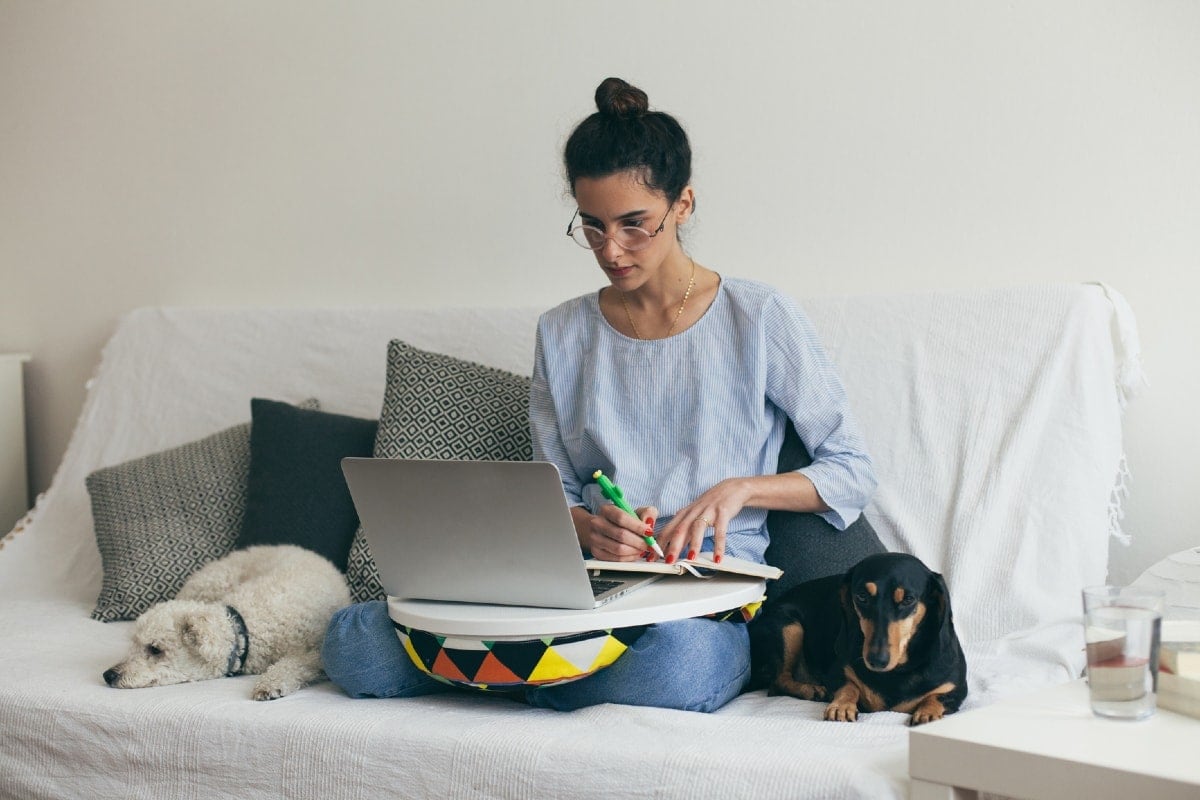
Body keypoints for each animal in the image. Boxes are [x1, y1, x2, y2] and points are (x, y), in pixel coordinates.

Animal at [103, 544, 350, 700]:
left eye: (155, 649)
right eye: (133, 645)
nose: (108, 675)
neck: (245, 627)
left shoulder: (315, 652)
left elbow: (292, 664)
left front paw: (271, 683)